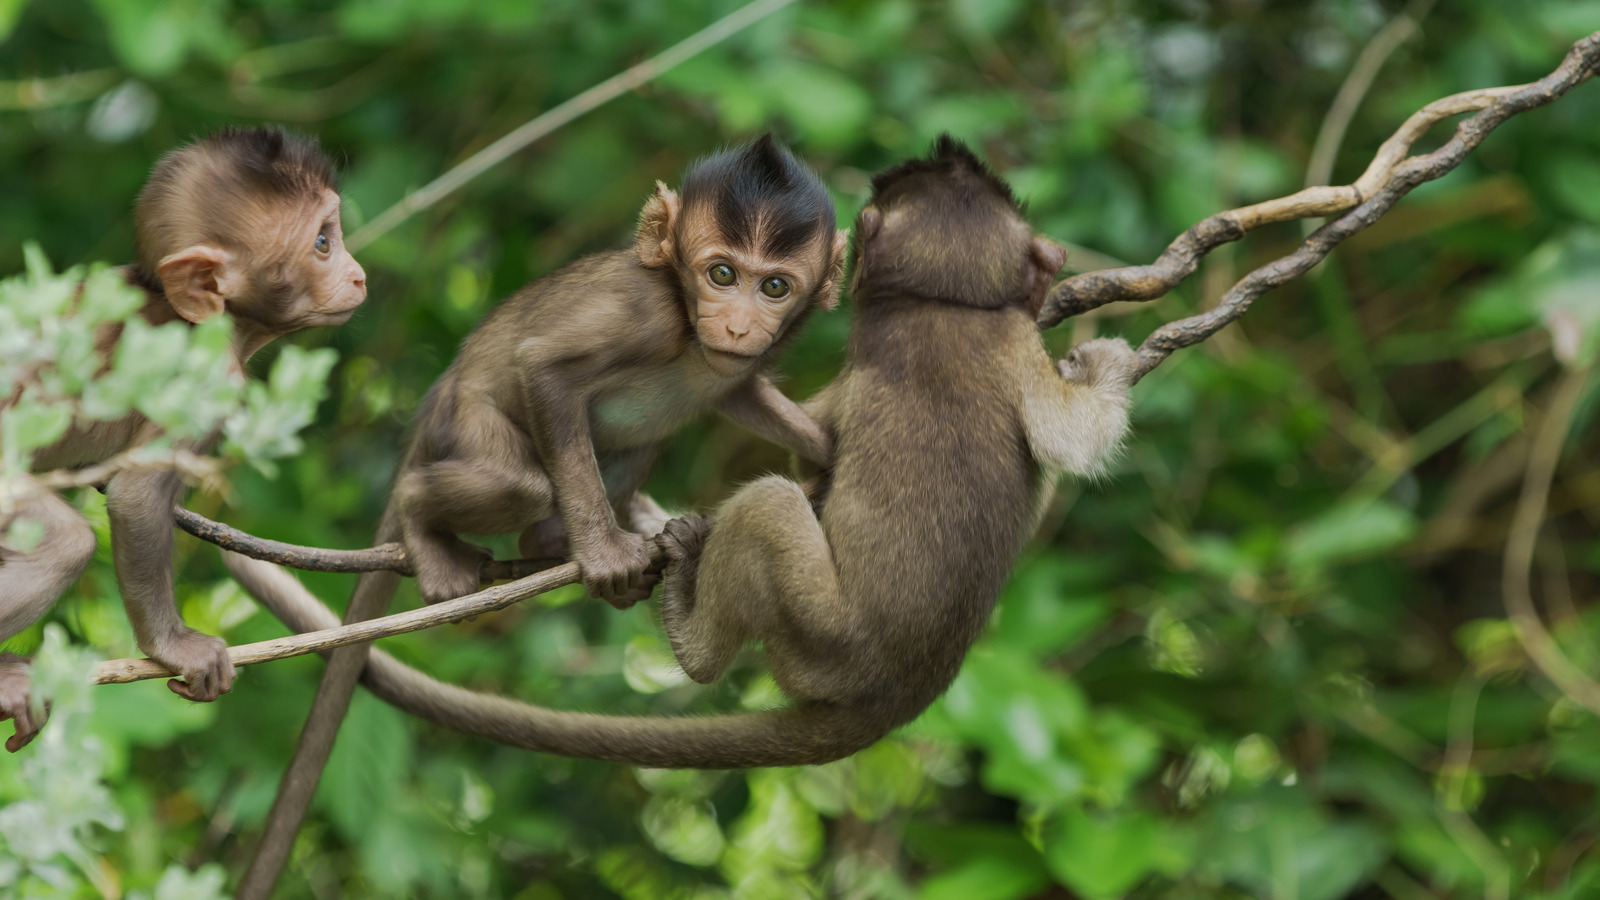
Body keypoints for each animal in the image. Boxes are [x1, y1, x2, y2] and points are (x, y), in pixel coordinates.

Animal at [1, 124, 368, 743]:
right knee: (67, 542)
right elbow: (136, 497)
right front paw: (173, 648)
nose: (359, 274)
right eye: (323, 243)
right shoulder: (210, 380)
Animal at [236, 134, 851, 890]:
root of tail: (434, 405)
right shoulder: (641, 315)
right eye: (721, 273)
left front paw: (830, 450)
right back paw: (437, 522)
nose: (736, 323)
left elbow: (743, 393)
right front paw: (602, 555)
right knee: (516, 482)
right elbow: (547, 370)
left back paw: (579, 535)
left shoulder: (736, 369)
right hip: (468, 422)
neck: (685, 317)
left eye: (775, 287)